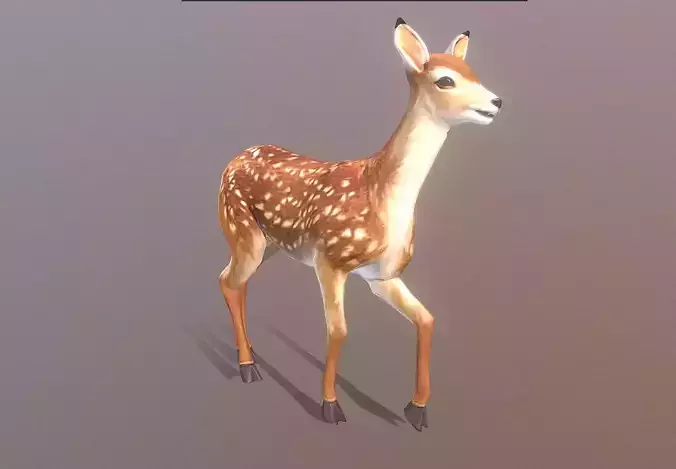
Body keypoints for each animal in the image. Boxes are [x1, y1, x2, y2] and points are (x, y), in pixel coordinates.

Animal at [216, 17, 503, 432]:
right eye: (446, 80)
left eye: (473, 71)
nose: (496, 102)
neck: (380, 195)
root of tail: (232, 160)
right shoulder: (330, 261)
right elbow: (338, 331)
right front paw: (330, 405)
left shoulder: (382, 275)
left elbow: (428, 320)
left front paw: (418, 409)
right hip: (242, 229)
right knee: (228, 281)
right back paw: (247, 366)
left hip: (267, 242)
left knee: (234, 281)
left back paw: (250, 351)